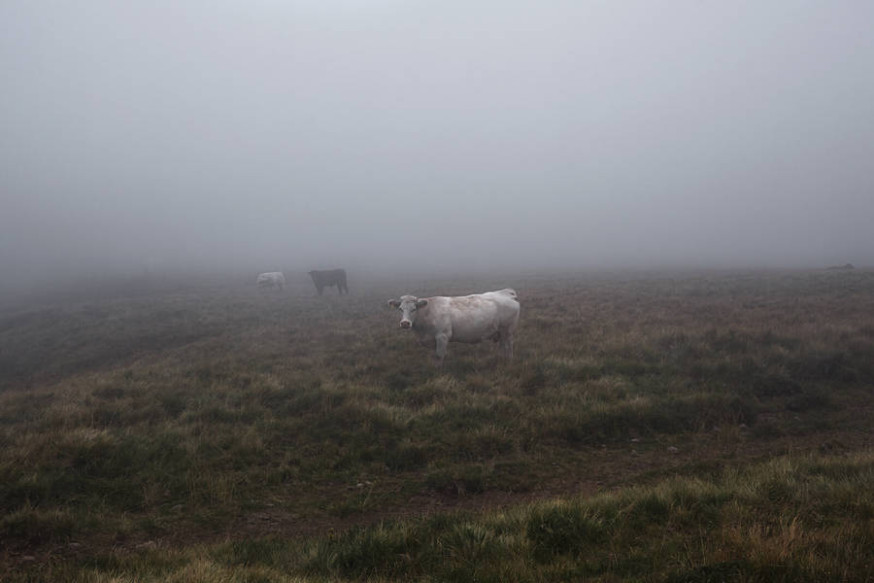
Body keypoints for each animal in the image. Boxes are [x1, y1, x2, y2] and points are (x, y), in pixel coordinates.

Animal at [386, 290, 516, 368]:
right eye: (400, 309)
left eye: (414, 309)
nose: (405, 323)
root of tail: (506, 293)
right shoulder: (433, 339)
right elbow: (435, 356)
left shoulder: (442, 336)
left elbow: (439, 355)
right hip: (500, 332)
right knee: (502, 346)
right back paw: (500, 360)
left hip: (508, 331)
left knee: (508, 346)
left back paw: (509, 362)